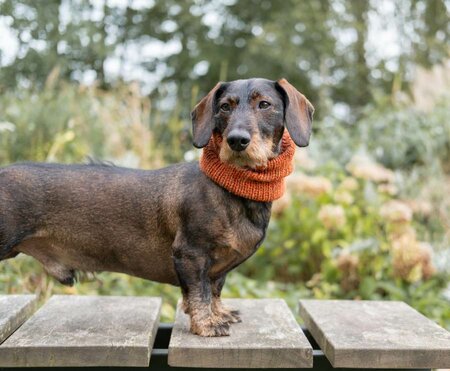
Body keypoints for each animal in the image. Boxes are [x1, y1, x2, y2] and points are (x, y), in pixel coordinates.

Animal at [0, 78, 312, 338]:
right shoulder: (190, 254)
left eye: (265, 104)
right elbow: (199, 293)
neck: (230, 187)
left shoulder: (216, 268)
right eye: (225, 106)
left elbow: (214, 289)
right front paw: (206, 324)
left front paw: (219, 313)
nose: (237, 140)